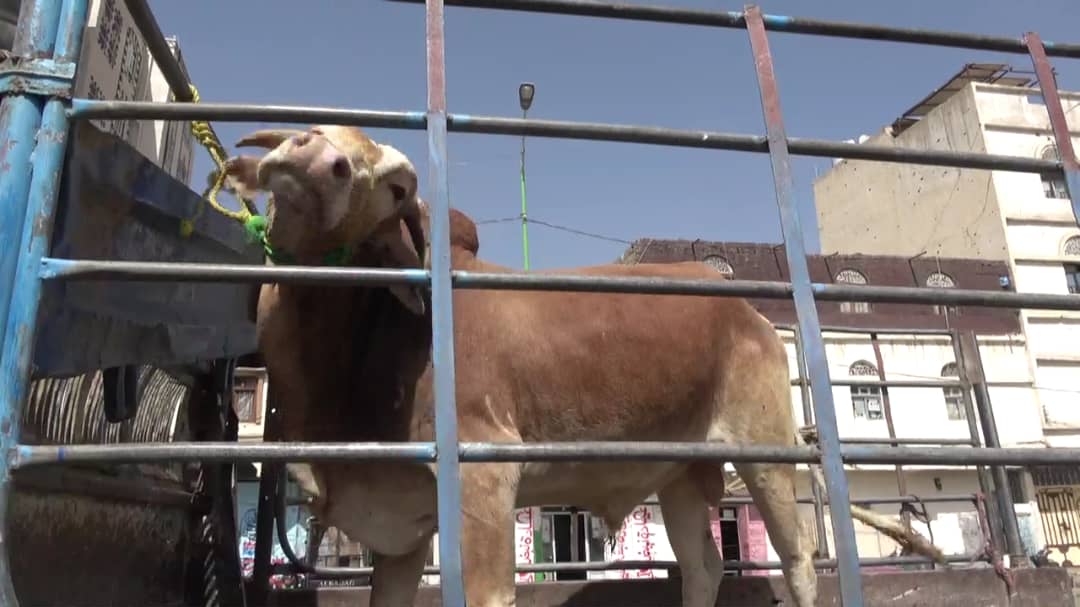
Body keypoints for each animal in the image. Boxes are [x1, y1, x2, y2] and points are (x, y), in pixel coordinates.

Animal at [223, 125, 938, 607]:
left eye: (396, 184)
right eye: (308, 132)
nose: (321, 162)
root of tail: (745, 310)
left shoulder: (487, 475)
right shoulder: (399, 532)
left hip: (767, 454)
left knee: (798, 560)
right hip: (682, 473)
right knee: (703, 565)